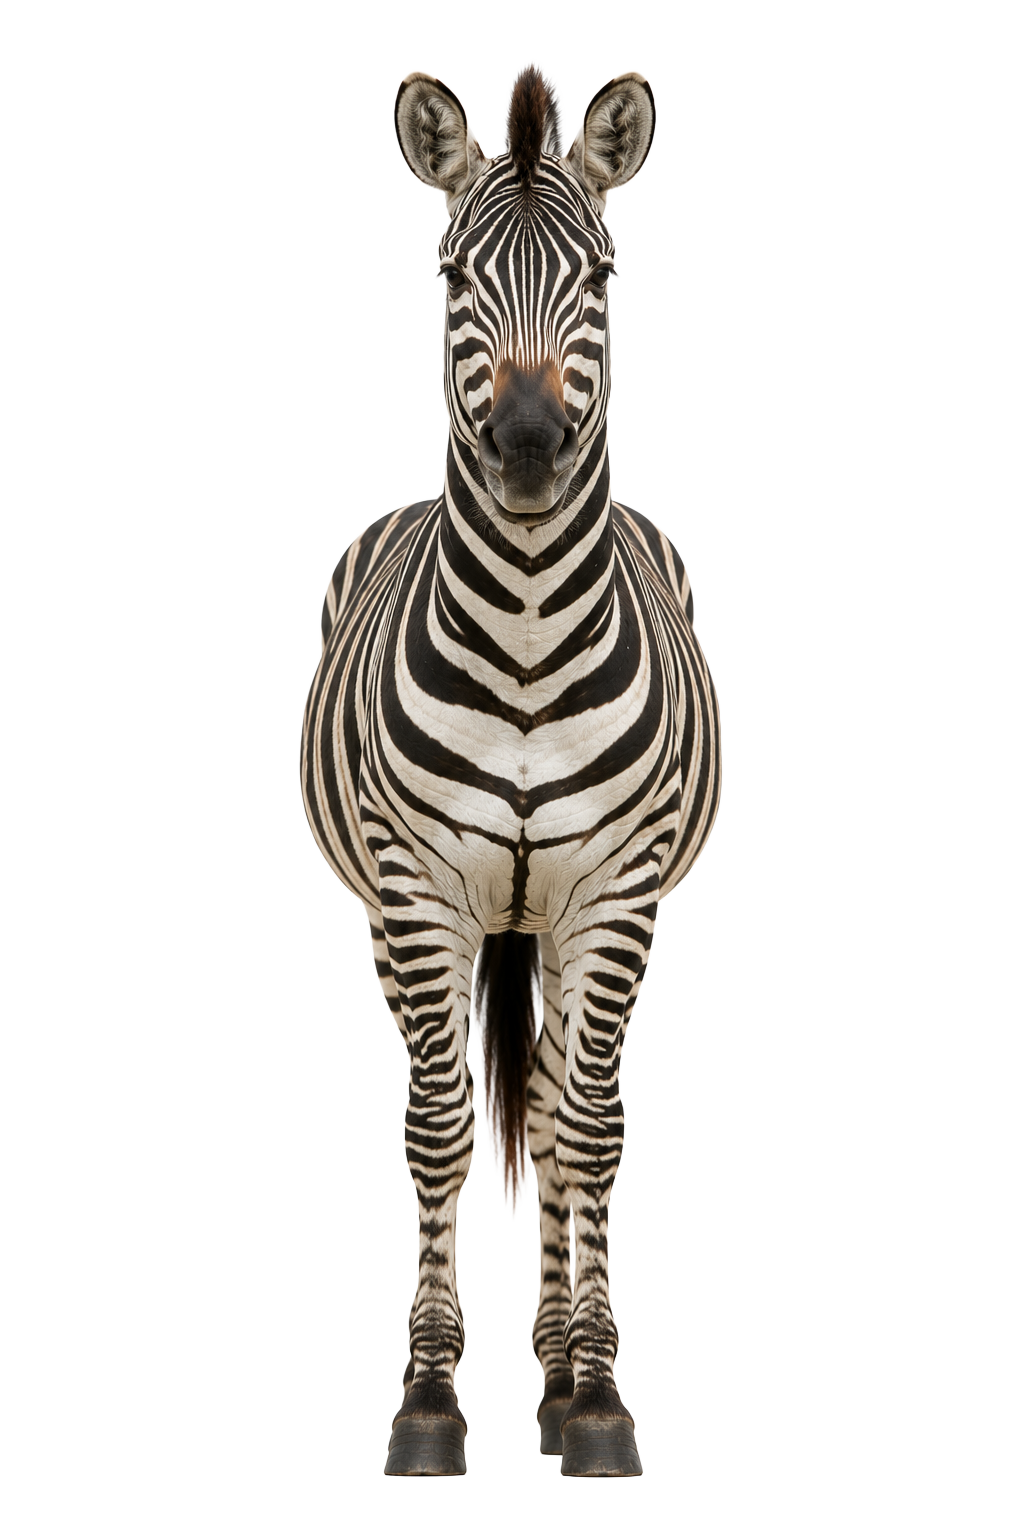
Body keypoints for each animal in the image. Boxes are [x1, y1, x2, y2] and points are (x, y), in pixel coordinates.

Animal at [301, 64, 720, 1477]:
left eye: (599, 275)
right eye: (450, 275)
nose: (530, 443)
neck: (532, 632)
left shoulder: (616, 890)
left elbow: (581, 1127)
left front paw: (594, 1401)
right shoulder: (418, 889)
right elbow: (437, 1128)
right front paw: (428, 1398)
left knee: (551, 1105)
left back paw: (557, 1373)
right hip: (405, 920)